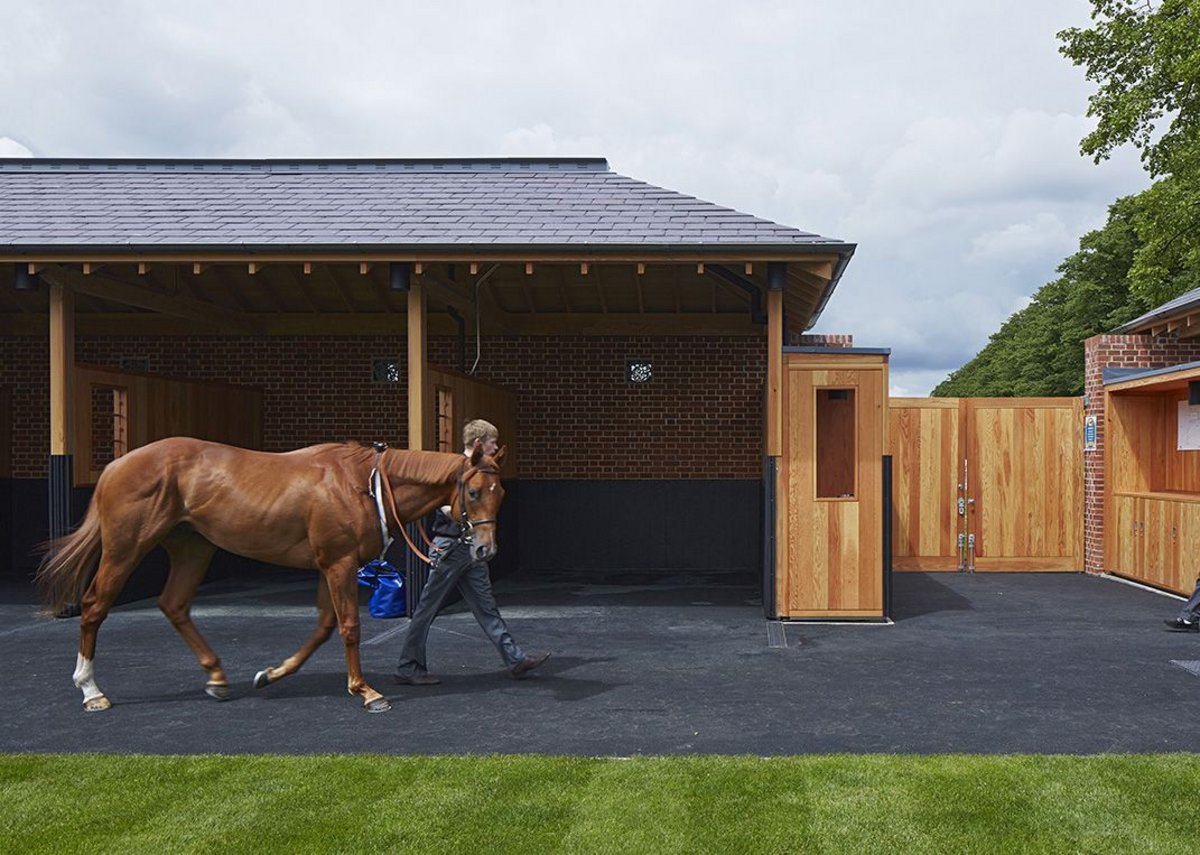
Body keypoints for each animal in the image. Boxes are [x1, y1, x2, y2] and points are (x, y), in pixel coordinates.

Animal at [37, 437, 504, 710]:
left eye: (501, 493)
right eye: (473, 491)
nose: (485, 550)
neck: (362, 483)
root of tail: (115, 467)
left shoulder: (329, 565)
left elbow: (323, 627)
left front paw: (271, 674)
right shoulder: (339, 562)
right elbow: (349, 627)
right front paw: (365, 690)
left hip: (193, 546)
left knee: (174, 604)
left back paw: (217, 678)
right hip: (125, 547)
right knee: (95, 605)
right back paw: (91, 690)